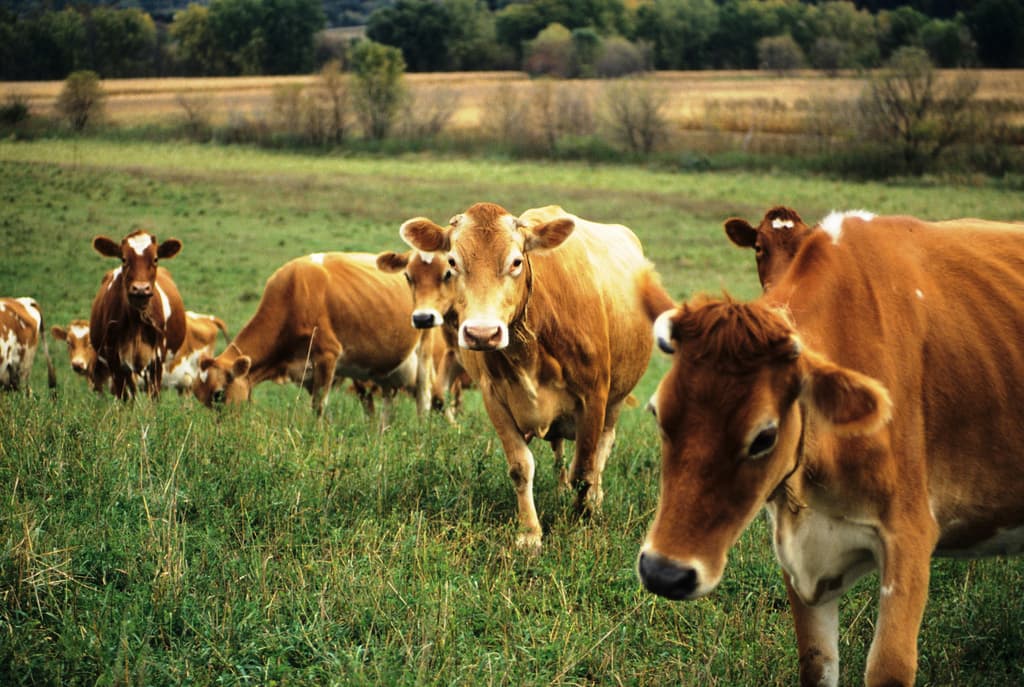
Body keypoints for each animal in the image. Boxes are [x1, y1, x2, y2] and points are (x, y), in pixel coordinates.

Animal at [89, 230, 187, 400]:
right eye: (124, 259)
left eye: (155, 259)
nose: (141, 289)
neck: (136, 323)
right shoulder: (115, 362)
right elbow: (124, 397)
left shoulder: (156, 361)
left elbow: (153, 397)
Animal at [192, 252, 433, 422]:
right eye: (199, 398)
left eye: (218, 394)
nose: (223, 431)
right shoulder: (306, 374)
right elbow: (322, 411)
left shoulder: (327, 356)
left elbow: (318, 408)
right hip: (384, 369)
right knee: (386, 405)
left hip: (424, 354)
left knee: (423, 401)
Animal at [400, 202, 674, 548]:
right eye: (452, 262)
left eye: (516, 261)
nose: (482, 333)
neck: (530, 343)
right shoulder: (495, 398)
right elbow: (521, 466)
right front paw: (529, 533)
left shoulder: (594, 397)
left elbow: (584, 469)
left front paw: (583, 517)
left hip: (615, 400)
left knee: (602, 450)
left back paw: (595, 500)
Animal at [638, 208, 1024, 687]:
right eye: (659, 414)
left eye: (764, 437)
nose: (663, 572)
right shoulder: (801, 558)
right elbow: (816, 663)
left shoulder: (910, 538)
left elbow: (888, 666)